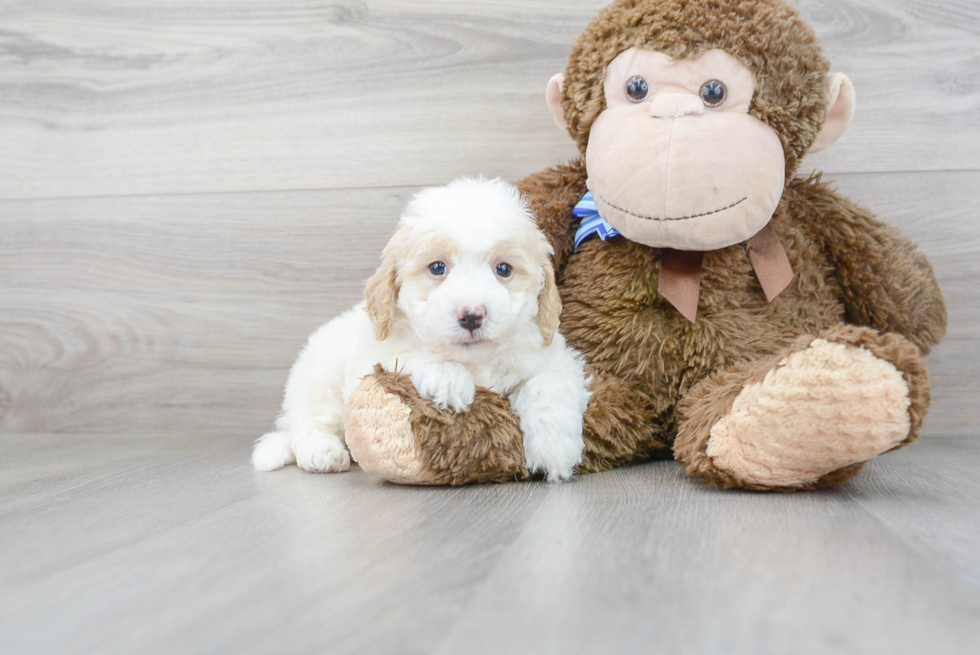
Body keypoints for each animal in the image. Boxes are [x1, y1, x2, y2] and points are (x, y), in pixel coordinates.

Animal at [253, 178, 588, 482]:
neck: (476, 361)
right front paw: (449, 378)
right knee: (309, 424)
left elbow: (547, 386)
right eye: (437, 267)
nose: (471, 315)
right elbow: (410, 356)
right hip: (318, 377)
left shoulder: (554, 358)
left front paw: (554, 450)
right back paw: (322, 452)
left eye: (503, 269)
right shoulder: (373, 358)